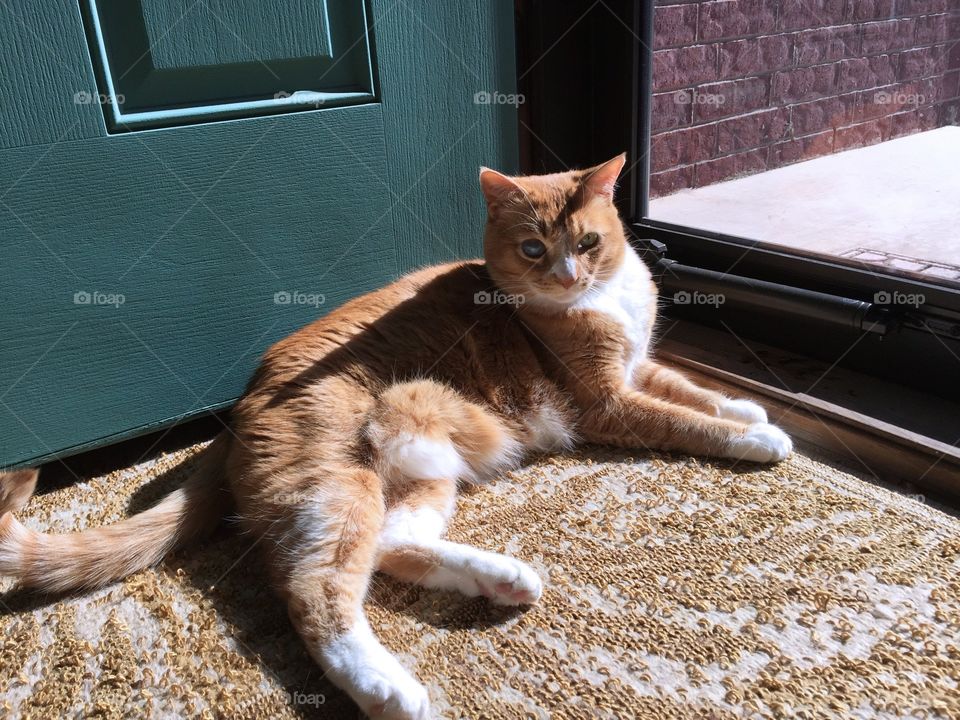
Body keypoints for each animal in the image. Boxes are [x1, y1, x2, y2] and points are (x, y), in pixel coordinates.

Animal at [0, 155, 788, 716]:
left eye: (588, 241)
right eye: (534, 249)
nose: (567, 276)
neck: (601, 300)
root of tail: (240, 407)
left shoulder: (636, 367)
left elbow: (688, 388)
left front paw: (748, 409)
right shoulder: (605, 402)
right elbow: (683, 420)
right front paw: (759, 440)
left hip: (425, 468)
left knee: (392, 544)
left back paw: (501, 579)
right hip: (341, 479)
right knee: (317, 589)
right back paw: (389, 690)